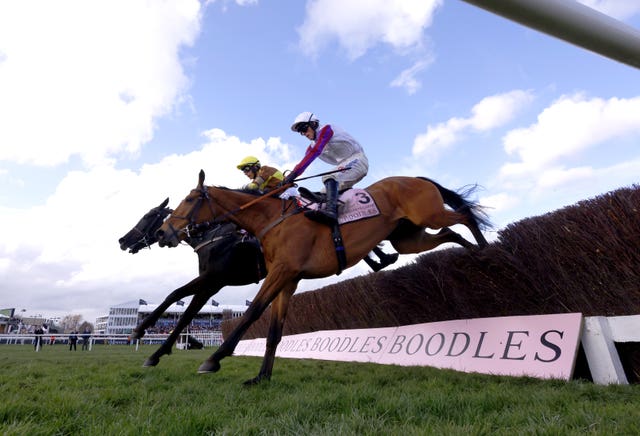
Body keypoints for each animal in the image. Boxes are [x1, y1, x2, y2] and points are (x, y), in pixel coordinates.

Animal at [156, 170, 490, 384]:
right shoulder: (288, 279)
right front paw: (262, 377)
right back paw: (474, 252)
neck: (270, 220)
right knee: (449, 233)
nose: (162, 232)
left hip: (427, 215)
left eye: (189, 200)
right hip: (408, 238)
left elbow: (252, 313)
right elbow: (274, 332)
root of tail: (417, 178)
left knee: (464, 216)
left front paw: (214, 359)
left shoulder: (280, 272)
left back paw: (487, 248)